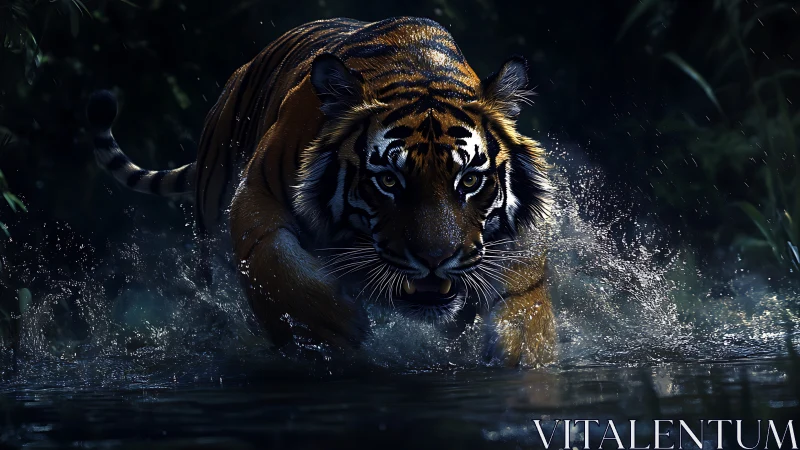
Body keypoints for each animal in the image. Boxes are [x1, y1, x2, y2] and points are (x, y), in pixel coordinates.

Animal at [86, 16, 556, 367]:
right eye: (388, 181)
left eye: (470, 180)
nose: (435, 261)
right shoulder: (256, 193)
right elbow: (274, 263)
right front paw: (335, 327)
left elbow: (525, 291)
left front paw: (524, 351)